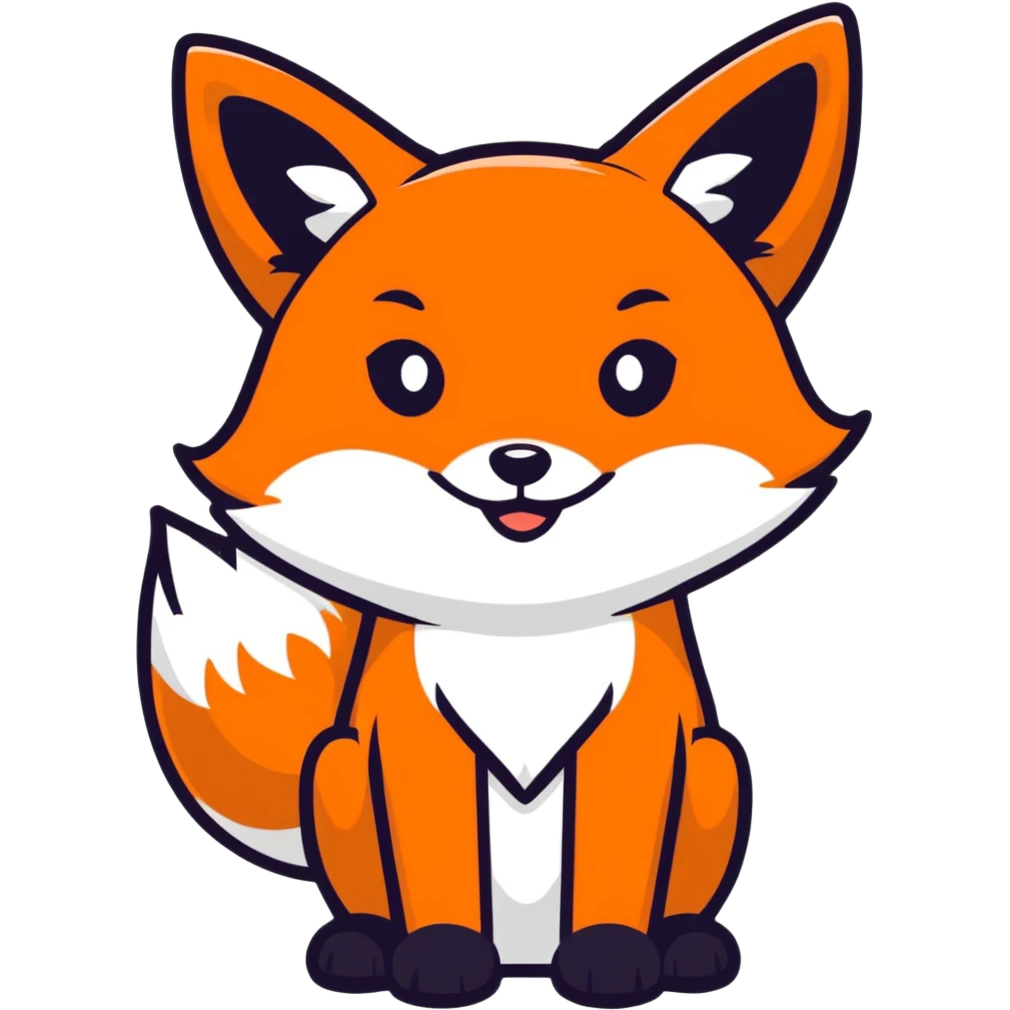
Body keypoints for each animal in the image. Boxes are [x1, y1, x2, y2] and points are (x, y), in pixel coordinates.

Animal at [142, 6, 869, 1007]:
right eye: (405, 376)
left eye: (637, 375)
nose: (519, 461)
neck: (523, 636)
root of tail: (525, 957)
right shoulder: (409, 746)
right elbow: (439, 866)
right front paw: (441, 960)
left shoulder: (641, 743)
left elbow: (613, 865)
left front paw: (613, 959)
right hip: (335, 769)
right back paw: (362, 945)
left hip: (722, 767)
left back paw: (687, 945)